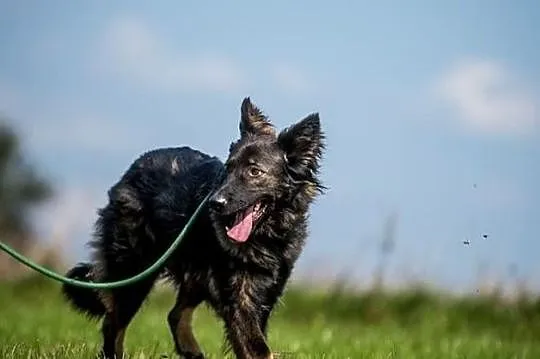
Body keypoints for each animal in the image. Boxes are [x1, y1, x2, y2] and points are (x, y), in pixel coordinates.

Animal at [62, 97, 324, 358]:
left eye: (254, 171)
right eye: (228, 169)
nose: (214, 203)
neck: (265, 236)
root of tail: (132, 170)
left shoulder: (267, 292)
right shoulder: (240, 298)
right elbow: (257, 347)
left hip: (192, 275)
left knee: (174, 314)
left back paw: (191, 351)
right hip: (136, 271)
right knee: (113, 322)